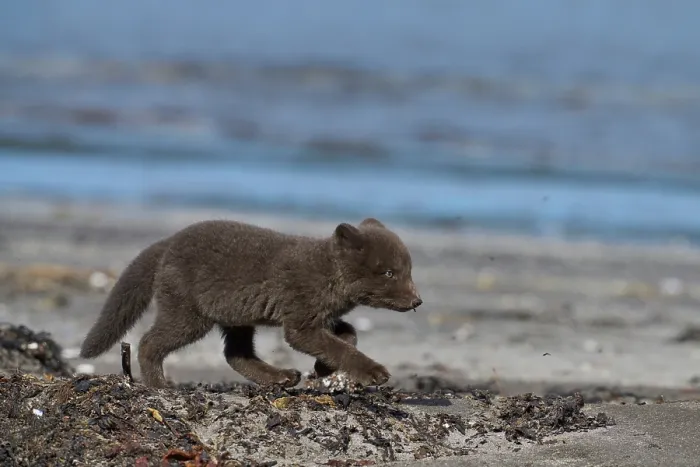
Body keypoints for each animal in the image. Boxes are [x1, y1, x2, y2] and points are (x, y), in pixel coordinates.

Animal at [79, 217, 422, 388]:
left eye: (408, 270)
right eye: (389, 272)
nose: (417, 301)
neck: (327, 274)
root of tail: (167, 243)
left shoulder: (320, 316)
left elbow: (348, 334)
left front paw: (323, 368)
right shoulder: (300, 320)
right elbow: (336, 345)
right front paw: (373, 372)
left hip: (235, 314)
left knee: (235, 353)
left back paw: (280, 377)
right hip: (189, 313)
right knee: (149, 342)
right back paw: (160, 386)